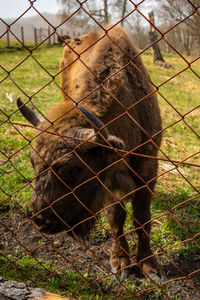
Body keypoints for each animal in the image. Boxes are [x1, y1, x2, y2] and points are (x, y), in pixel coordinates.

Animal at [16, 24, 166, 282]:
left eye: (73, 169)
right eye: (33, 162)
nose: (40, 222)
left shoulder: (148, 167)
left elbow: (142, 218)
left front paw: (150, 267)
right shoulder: (110, 181)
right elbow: (117, 216)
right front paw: (121, 263)